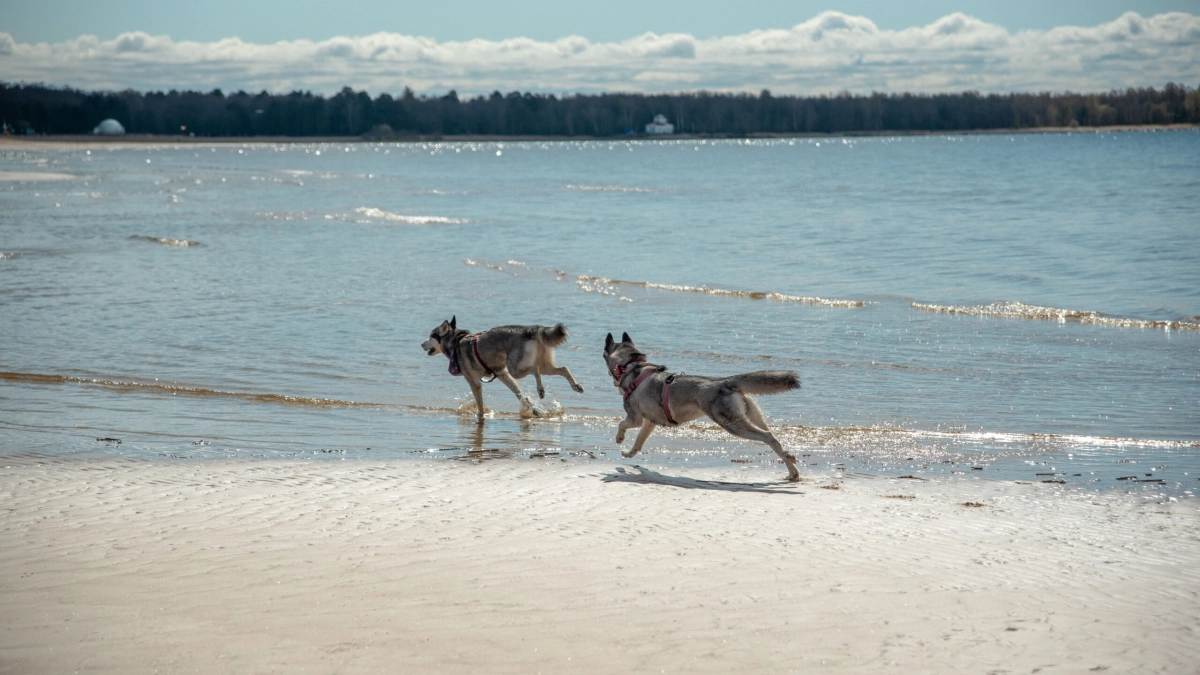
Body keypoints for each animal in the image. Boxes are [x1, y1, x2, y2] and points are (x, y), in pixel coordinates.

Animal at [424, 314, 583, 420]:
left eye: (430, 336)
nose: (421, 344)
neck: (456, 341)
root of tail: (530, 329)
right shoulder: (503, 375)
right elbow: (520, 395)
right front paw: (533, 409)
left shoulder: (474, 383)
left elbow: (480, 405)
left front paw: (481, 416)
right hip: (542, 366)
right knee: (563, 368)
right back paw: (576, 386)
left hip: (516, 369)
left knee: (535, 369)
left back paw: (541, 390)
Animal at [604, 329, 801, 478]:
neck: (632, 367)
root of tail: (725, 381)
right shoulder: (649, 422)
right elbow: (638, 442)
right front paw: (629, 453)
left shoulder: (635, 418)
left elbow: (621, 424)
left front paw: (619, 438)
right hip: (751, 417)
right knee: (773, 437)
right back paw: (792, 467)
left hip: (733, 424)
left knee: (768, 437)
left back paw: (790, 465)